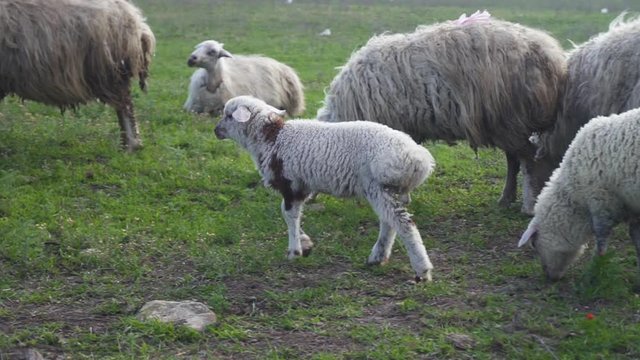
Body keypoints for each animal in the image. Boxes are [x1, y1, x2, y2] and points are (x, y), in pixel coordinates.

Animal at [214, 95, 436, 282]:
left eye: (228, 115)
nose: (216, 131)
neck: (272, 137)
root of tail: (419, 159)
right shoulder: (303, 186)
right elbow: (291, 213)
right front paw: (305, 243)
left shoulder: (290, 183)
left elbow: (288, 215)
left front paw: (294, 251)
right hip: (385, 190)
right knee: (390, 223)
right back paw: (378, 257)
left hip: (379, 186)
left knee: (404, 225)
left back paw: (422, 270)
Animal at [316, 11, 564, 214]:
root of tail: (550, 56)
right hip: (504, 123)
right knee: (514, 161)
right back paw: (506, 199)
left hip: (509, 117)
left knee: (529, 161)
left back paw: (529, 205)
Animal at [516, 107, 640, 282]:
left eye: (534, 244)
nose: (549, 277)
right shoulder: (632, 208)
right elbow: (636, 239)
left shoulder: (601, 202)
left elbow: (601, 242)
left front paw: (594, 270)